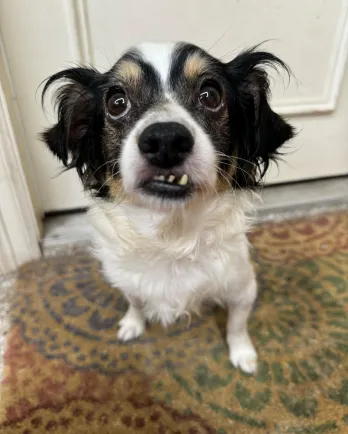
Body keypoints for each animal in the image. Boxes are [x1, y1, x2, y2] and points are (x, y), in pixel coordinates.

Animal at [42, 41, 294, 372]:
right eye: (116, 102)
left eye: (210, 95)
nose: (165, 139)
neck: (170, 236)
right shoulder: (127, 281)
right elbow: (135, 302)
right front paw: (133, 324)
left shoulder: (242, 287)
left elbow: (236, 324)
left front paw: (242, 353)